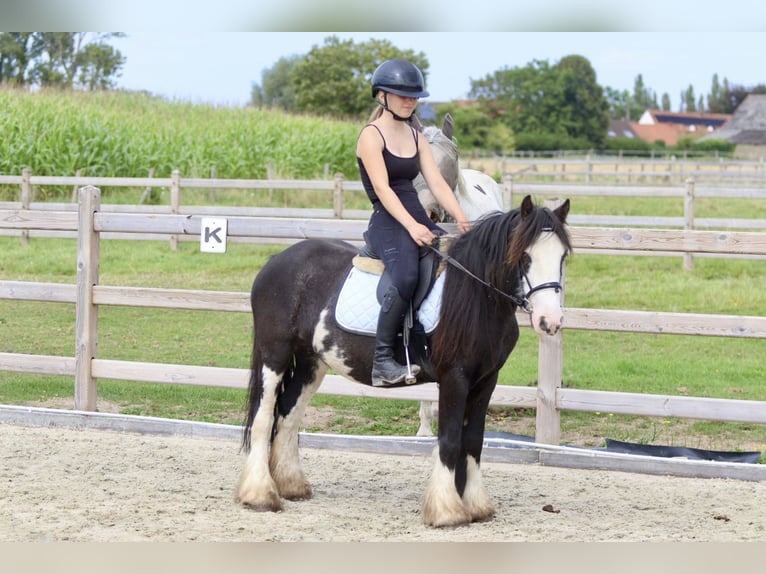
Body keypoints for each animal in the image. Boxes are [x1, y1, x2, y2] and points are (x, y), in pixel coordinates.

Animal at [237, 196, 572, 528]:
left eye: (562, 257)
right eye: (524, 257)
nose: (550, 321)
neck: (476, 296)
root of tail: (277, 259)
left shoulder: (486, 380)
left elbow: (473, 442)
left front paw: (476, 506)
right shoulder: (455, 378)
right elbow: (450, 441)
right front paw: (447, 511)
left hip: (311, 363)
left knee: (289, 416)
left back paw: (290, 485)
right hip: (275, 354)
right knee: (264, 418)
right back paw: (260, 495)